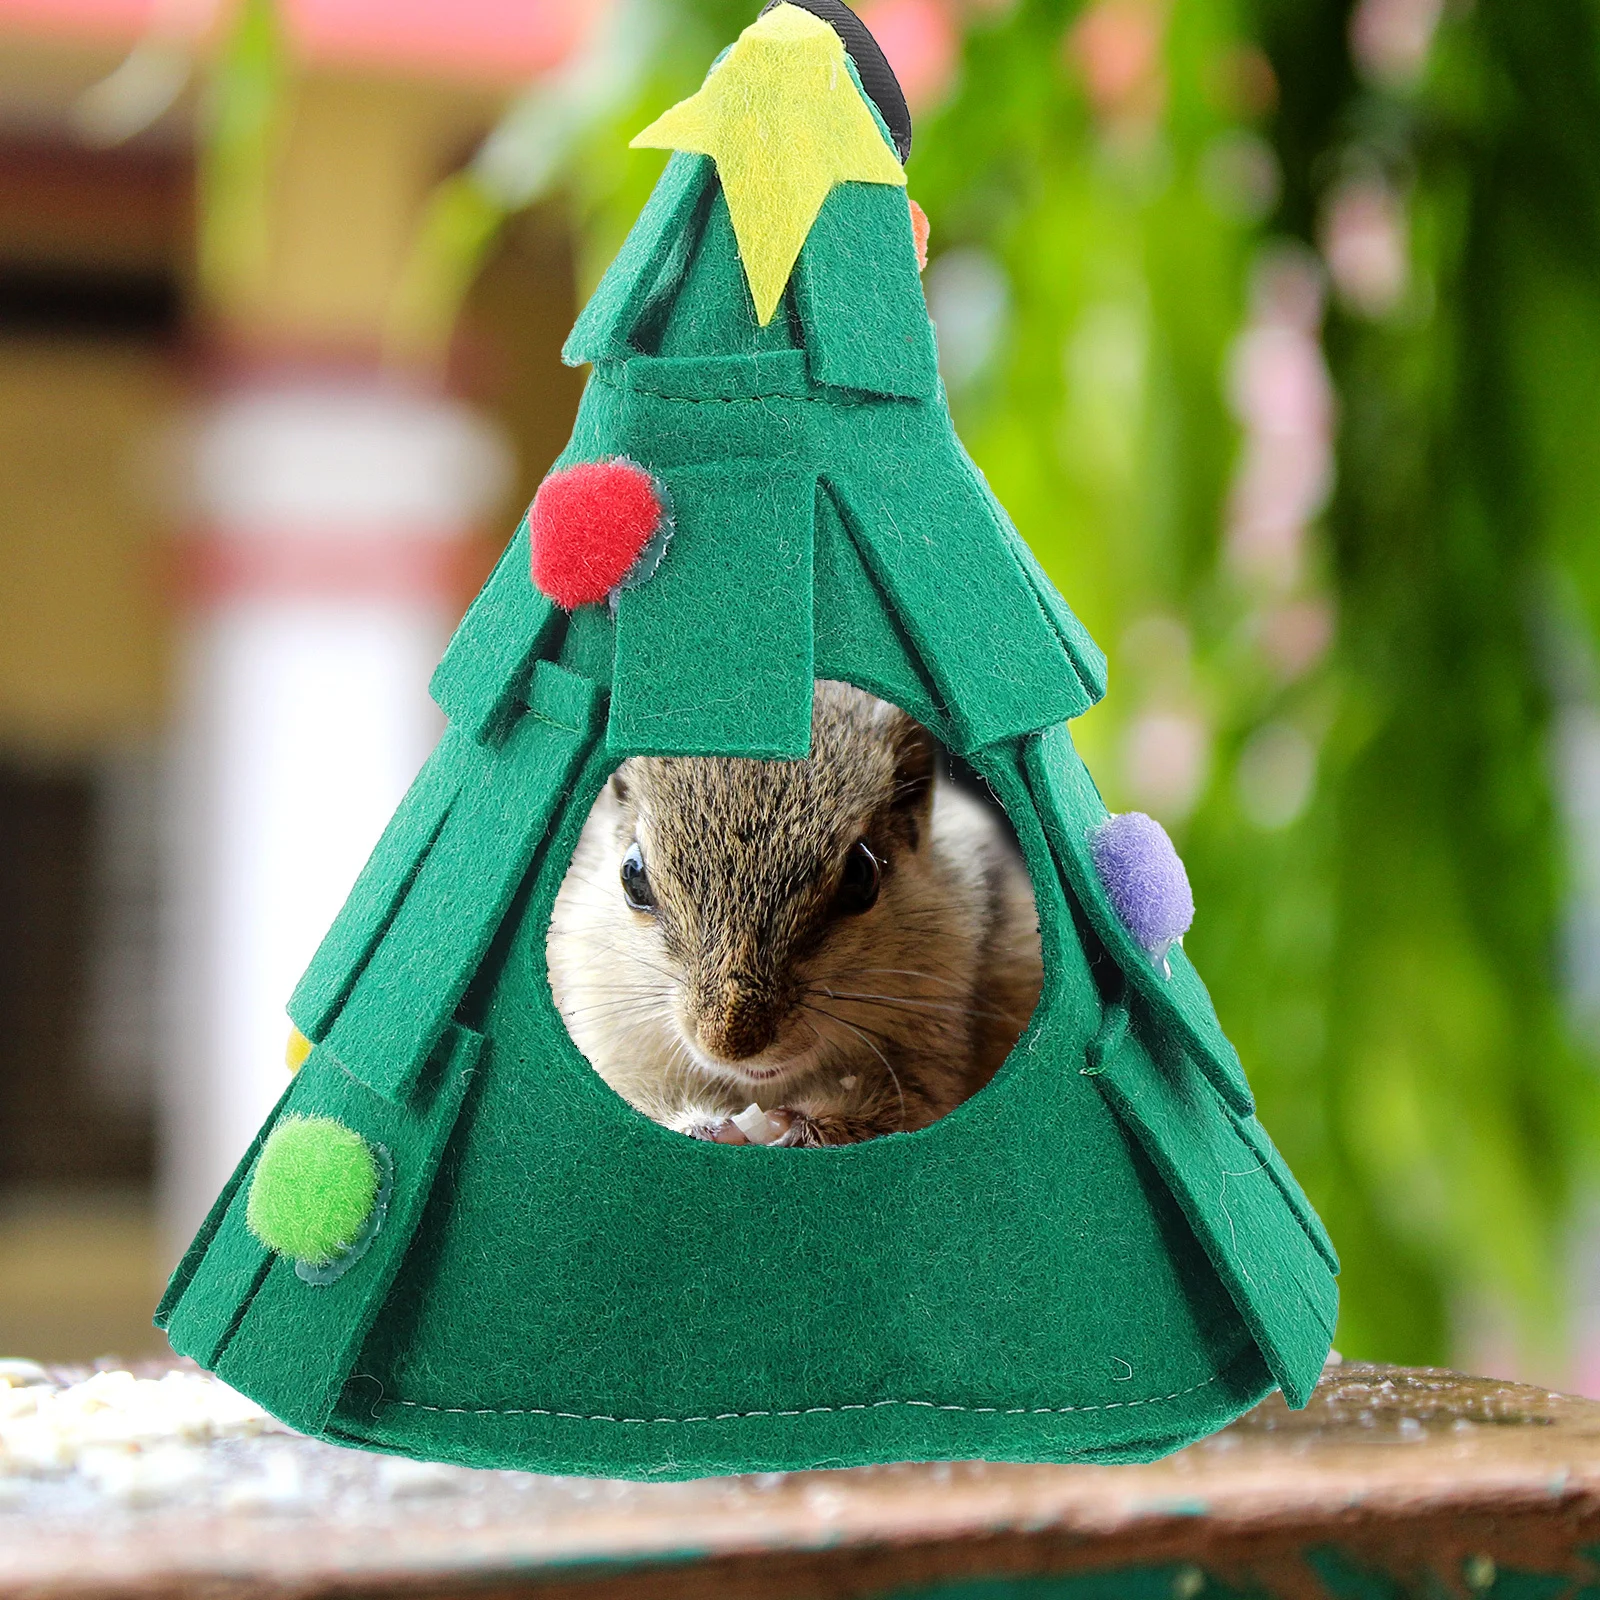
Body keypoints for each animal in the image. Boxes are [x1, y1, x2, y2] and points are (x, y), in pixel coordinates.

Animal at [547, 680, 1043, 1146]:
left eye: (862, 875)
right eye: (632, 876)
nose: (729, 1044)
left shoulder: (939, 1048)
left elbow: (910, 1105)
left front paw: (803, 1126)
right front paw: (700, 1125)